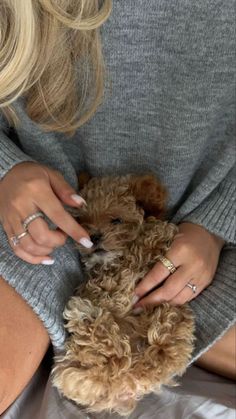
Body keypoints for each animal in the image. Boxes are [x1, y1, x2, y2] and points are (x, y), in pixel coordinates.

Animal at [52, 174, 195, 416]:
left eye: (116, 220)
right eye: (82, 222)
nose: (93, 237)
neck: (116, 260)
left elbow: (155, 235)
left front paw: (154, 233)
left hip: (171, 318)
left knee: (155, 351)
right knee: (114, 357)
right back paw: (89, 319)